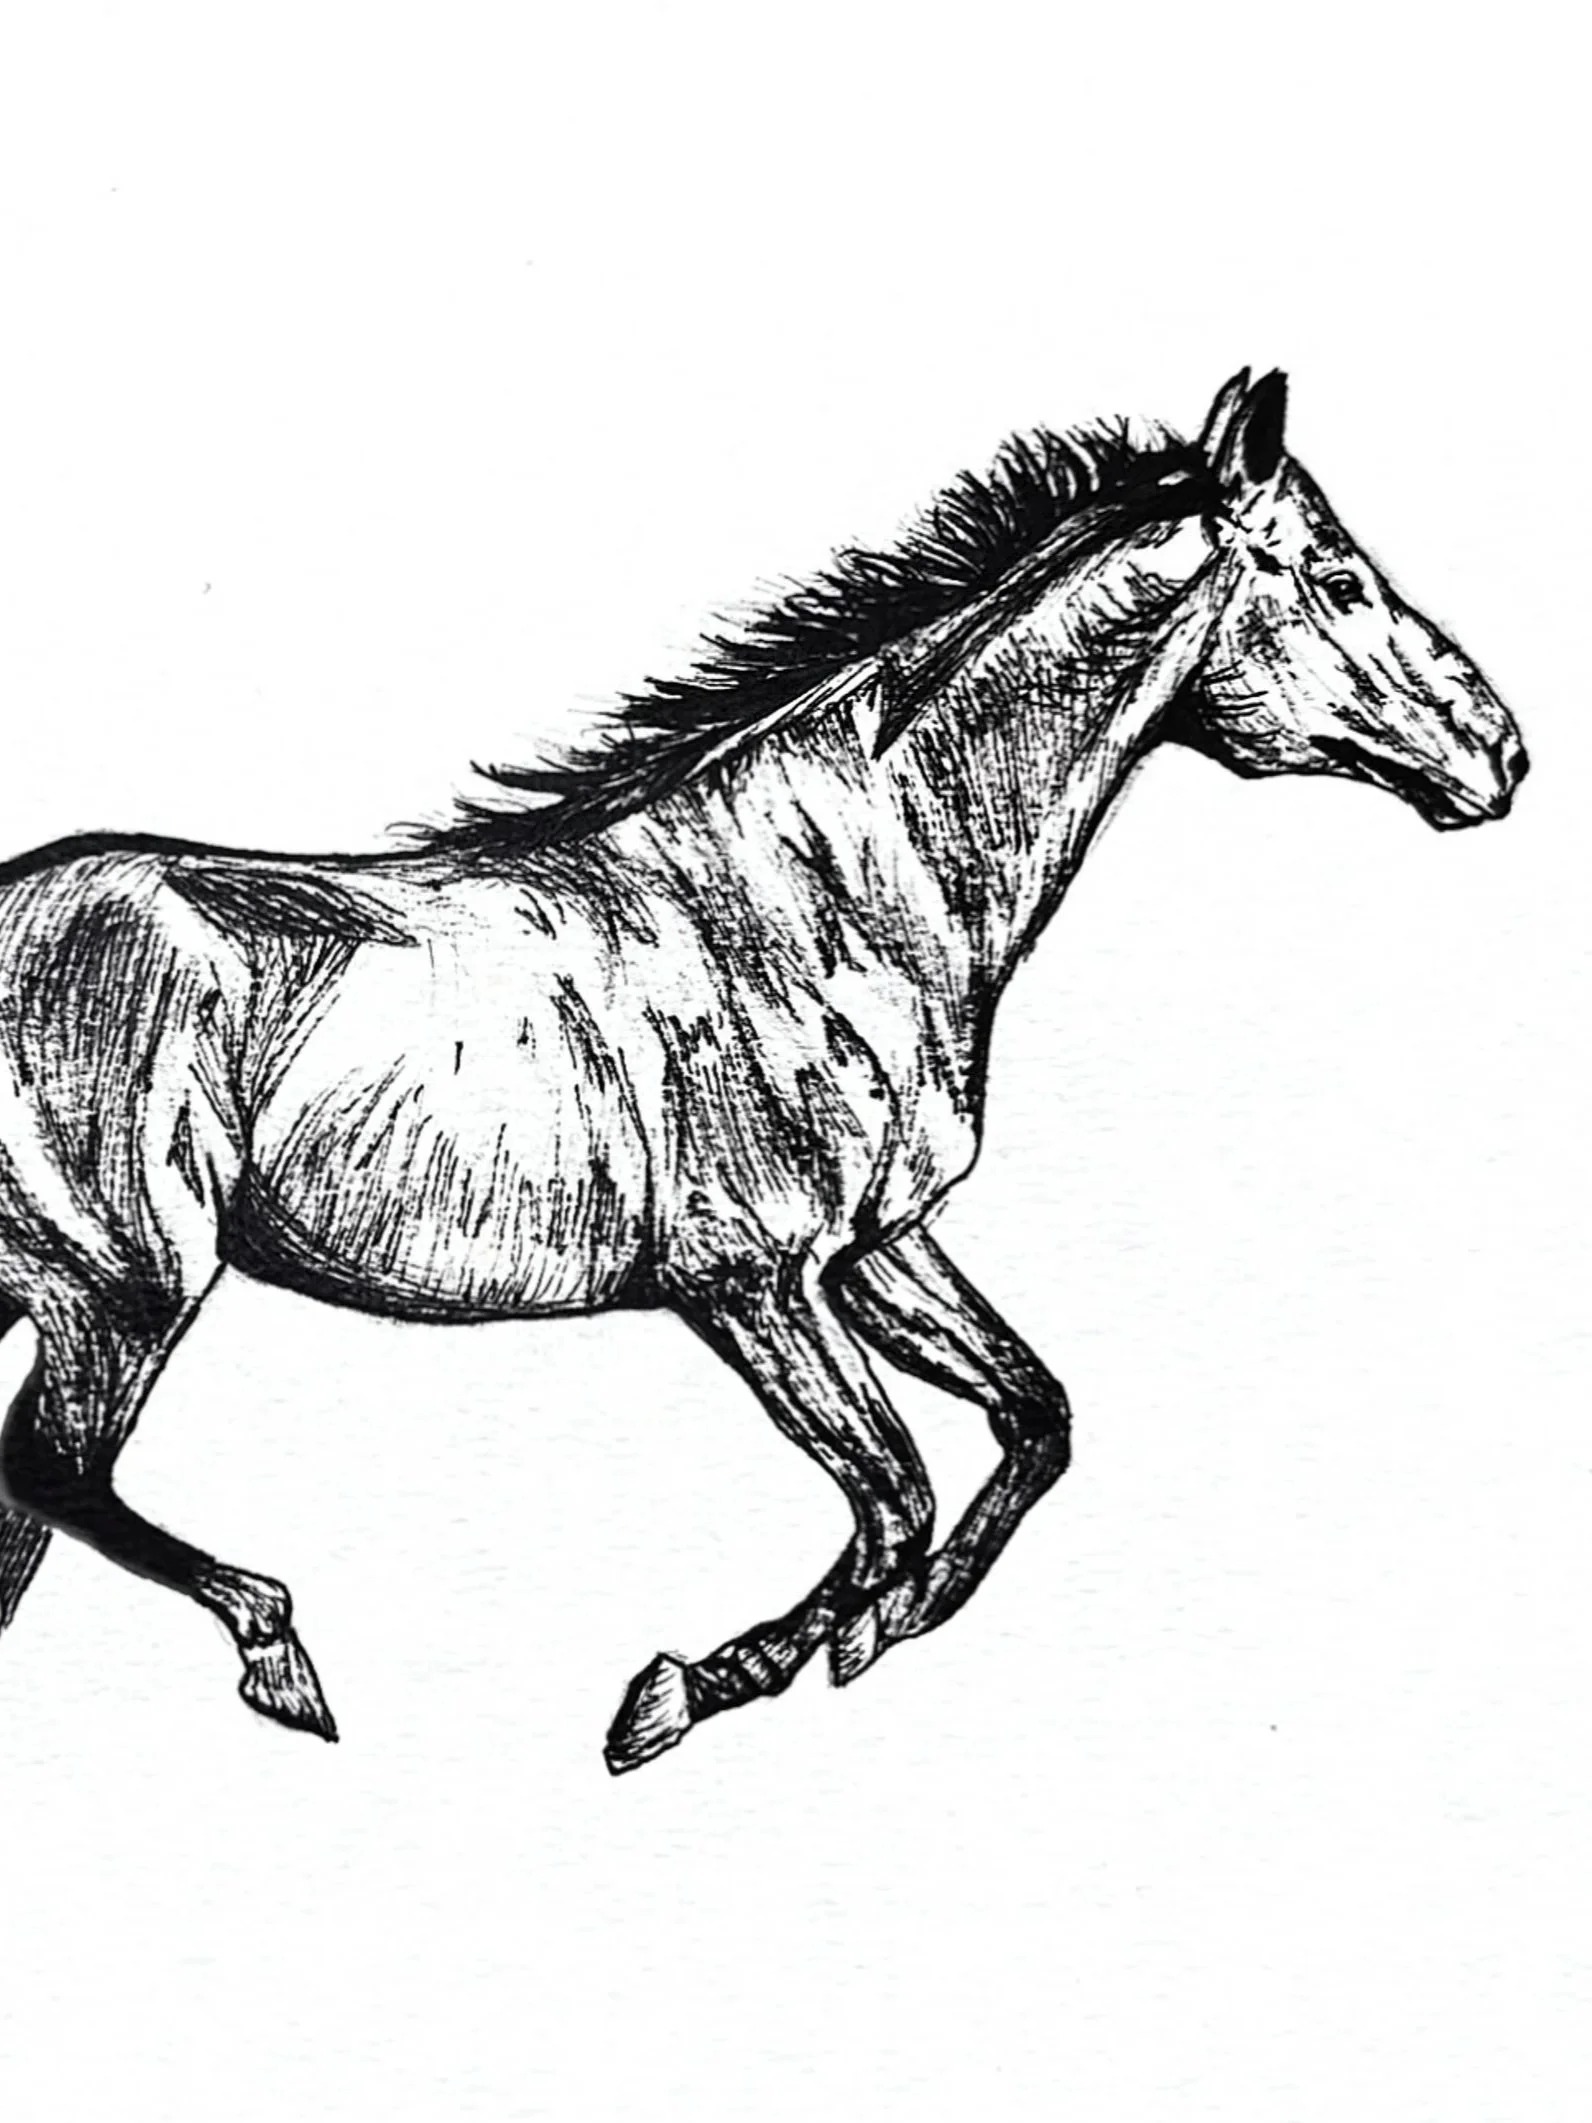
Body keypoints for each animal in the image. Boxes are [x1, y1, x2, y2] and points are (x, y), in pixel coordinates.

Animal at [0, 369, 1527, 1772]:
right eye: (1337, 575)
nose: (1501, 754)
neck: (833, 890)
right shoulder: (749, 1278)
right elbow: (897, 1492)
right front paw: (683, 1690)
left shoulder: (879, 1245)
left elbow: (1029, 1419)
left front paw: (867, 1631)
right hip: (121, 1287)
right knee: (48, 1464)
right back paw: (284, 1656)